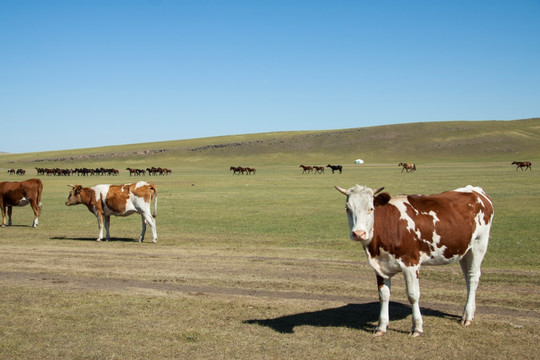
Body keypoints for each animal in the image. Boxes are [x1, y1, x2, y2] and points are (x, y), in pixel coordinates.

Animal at [336, 184, 496, 336]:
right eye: (348, 209)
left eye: (371, 208)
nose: (359, 233)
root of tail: (475, 191)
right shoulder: (380, 266)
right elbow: (384, 296)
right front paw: (381, 327)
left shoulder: (410, 263)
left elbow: (413, 295)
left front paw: (417, 328)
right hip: (463, 251)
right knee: (468, 279)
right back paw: (470, 312)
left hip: (479, 244)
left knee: (473, 277)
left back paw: (467, 316)